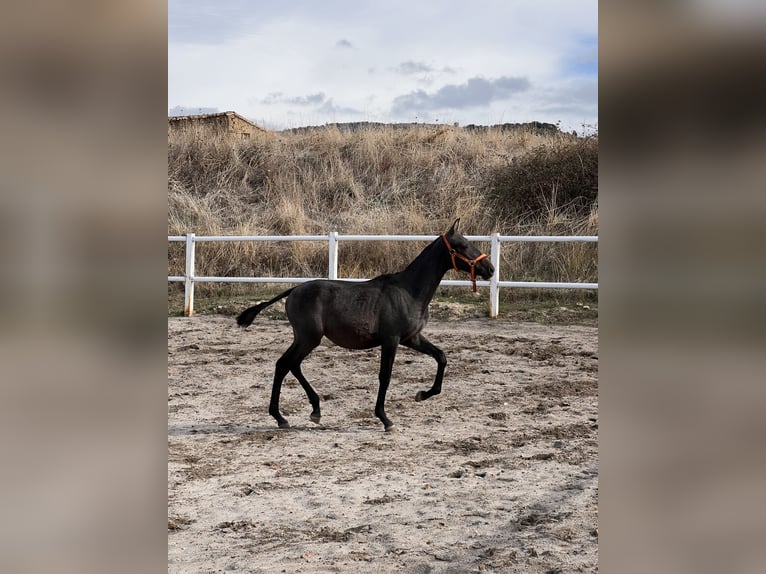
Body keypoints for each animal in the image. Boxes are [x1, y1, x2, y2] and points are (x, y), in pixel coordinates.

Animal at [236, 219, 495, 431]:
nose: (490, 269)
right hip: (309, 338)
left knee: (288, 365)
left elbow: (441, 357)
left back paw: (306, 412)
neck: (409, 292)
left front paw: (422, 394)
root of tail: (294, 289)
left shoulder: (411, 338)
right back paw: (285, 416)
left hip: (305, 338)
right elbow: (385, 376)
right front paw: (385, 419)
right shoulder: (391, 340)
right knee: (286, 364)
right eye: (462, 245)